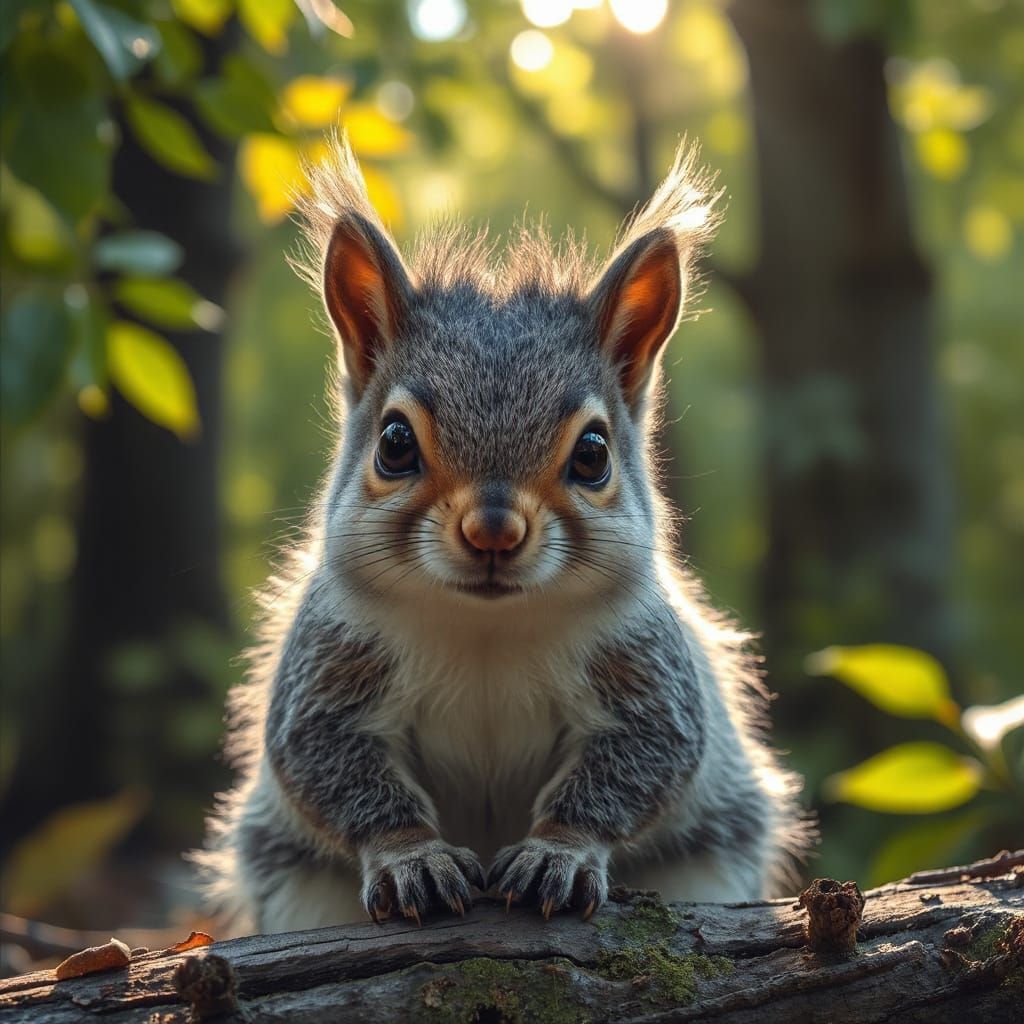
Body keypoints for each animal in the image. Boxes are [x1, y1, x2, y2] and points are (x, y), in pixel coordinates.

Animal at [197, 135, 811, 933]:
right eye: (394, 443)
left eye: (594, 454)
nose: (493, 531)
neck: (486, 625)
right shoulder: (327, 662)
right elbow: (326, 759)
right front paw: (413, 858)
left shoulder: (649, 669)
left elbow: (644, 757)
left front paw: (560, 853)